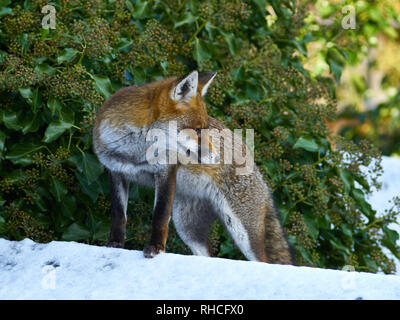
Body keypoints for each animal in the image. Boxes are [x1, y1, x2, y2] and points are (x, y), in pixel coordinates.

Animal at [93, 71, 294, 264]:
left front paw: (156, 247)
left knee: (266, 262)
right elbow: (119, 215)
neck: (135, 153)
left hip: (243, 233)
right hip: (187, 227)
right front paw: (114, 244)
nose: (217, 158)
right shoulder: (116, 172)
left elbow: (159, 216)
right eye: (197, 130)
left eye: (206, 128)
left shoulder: (166, 171)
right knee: (208, 256)